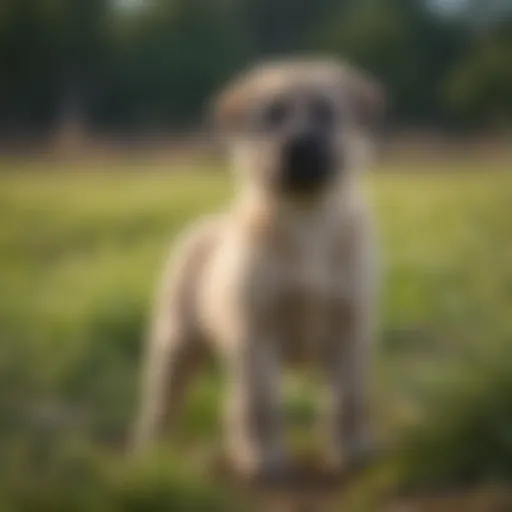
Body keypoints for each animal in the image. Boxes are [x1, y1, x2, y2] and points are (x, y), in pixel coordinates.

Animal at [132, 58, 384, 482]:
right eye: (273, 115)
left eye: (326, 112)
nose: (300, 144)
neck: (306, 220)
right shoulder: (256, 333)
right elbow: (262, 405)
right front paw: (265, 459)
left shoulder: (350, 330)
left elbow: (349, 400)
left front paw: (352, 453)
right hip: (176, 345)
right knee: (166, 405)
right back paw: (152, 454)